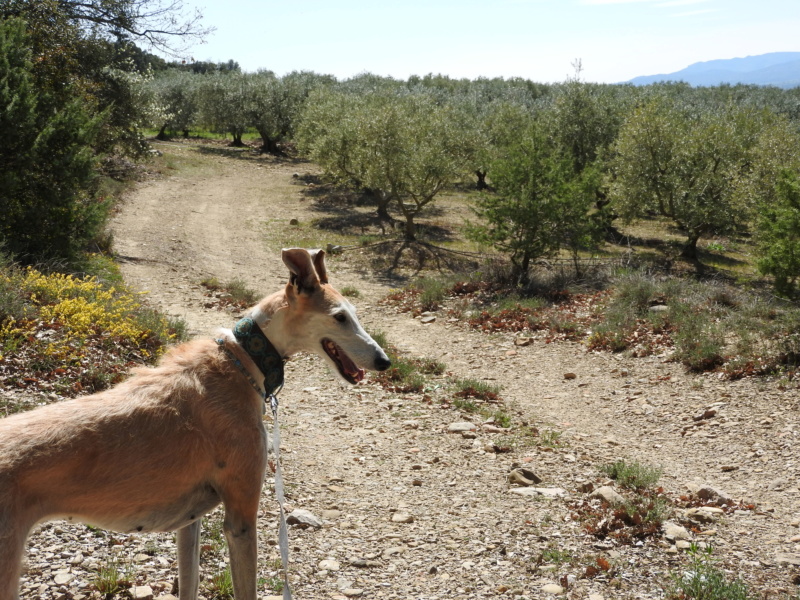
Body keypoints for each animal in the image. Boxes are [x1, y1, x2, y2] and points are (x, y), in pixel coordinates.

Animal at [0, 247, 390, 600]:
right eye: (340, 317)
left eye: (354, 315)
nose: (384, 361)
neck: (242, 360)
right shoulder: (241, 517)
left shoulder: (190, 522)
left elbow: (190, 581)